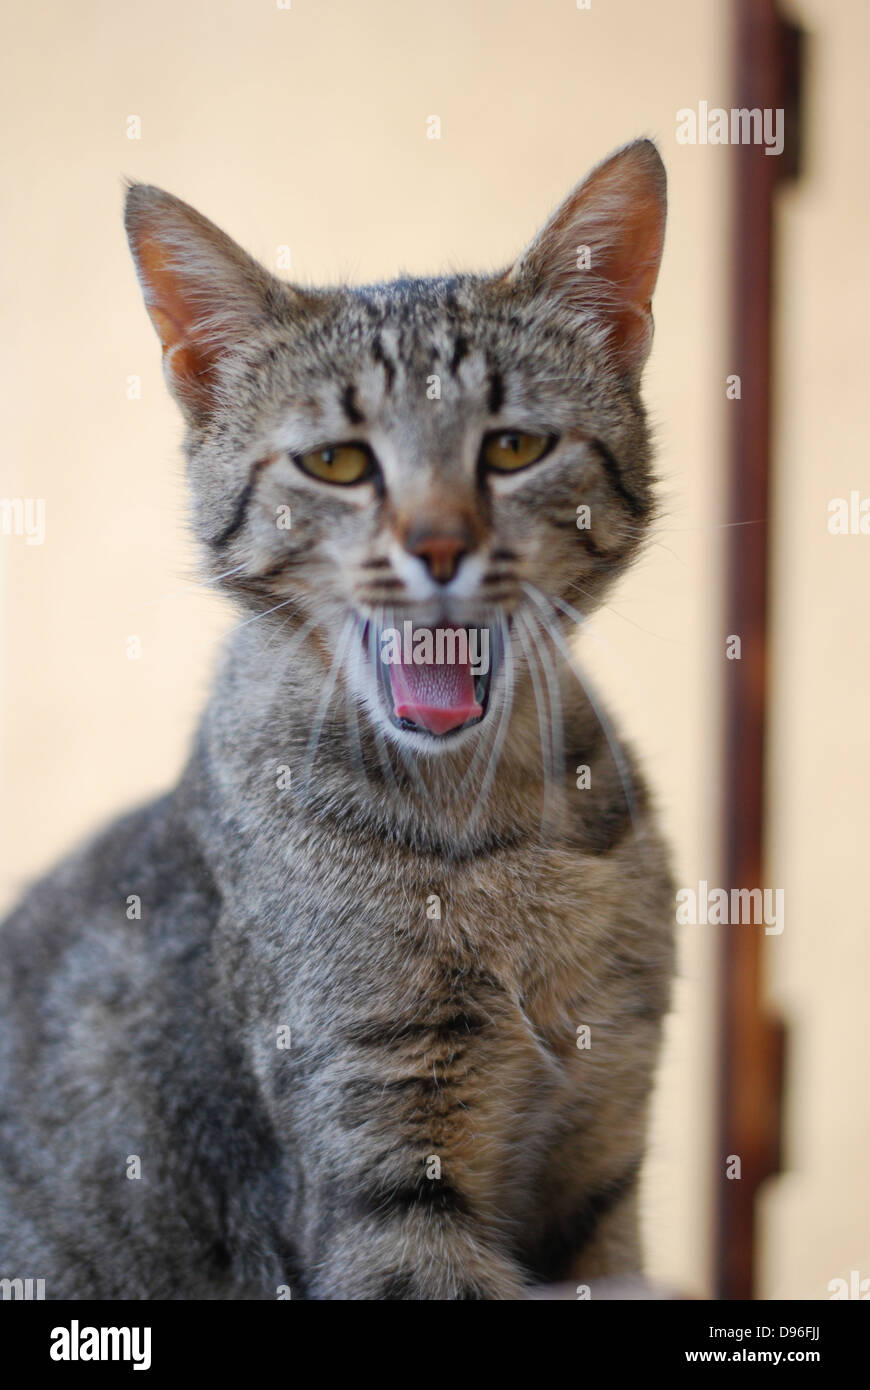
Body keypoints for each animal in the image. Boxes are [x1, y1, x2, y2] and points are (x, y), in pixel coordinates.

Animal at [0, 135, 669, 1295]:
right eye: (337, 462)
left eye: (512, 448)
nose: (439, 545)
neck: (489, 823)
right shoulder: (385, 1183)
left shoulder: (603, 1162)